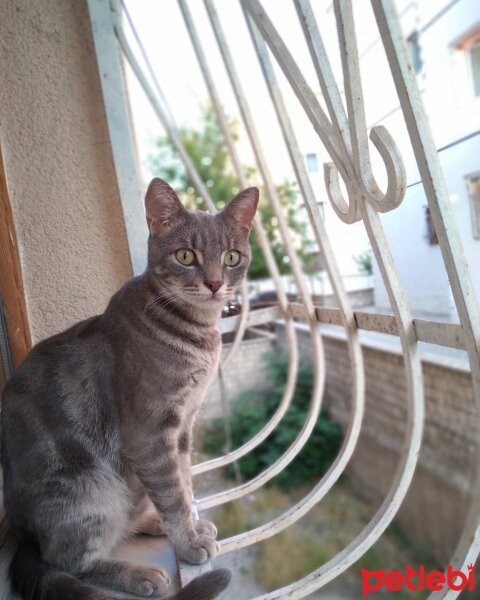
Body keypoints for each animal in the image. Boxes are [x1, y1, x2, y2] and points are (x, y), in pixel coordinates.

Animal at [0, 178, 258, 600]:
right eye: (185, 255)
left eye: (232, 257)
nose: (215, 283)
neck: (199, 333)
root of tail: (26, 538)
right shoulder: (151, 432)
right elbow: (173, 492)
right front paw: (188, 541)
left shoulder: (182, 427)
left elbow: (183, 481)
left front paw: (190, 528)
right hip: (88, 494)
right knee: (71, 561)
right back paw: (141, 575)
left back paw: (151, 523)